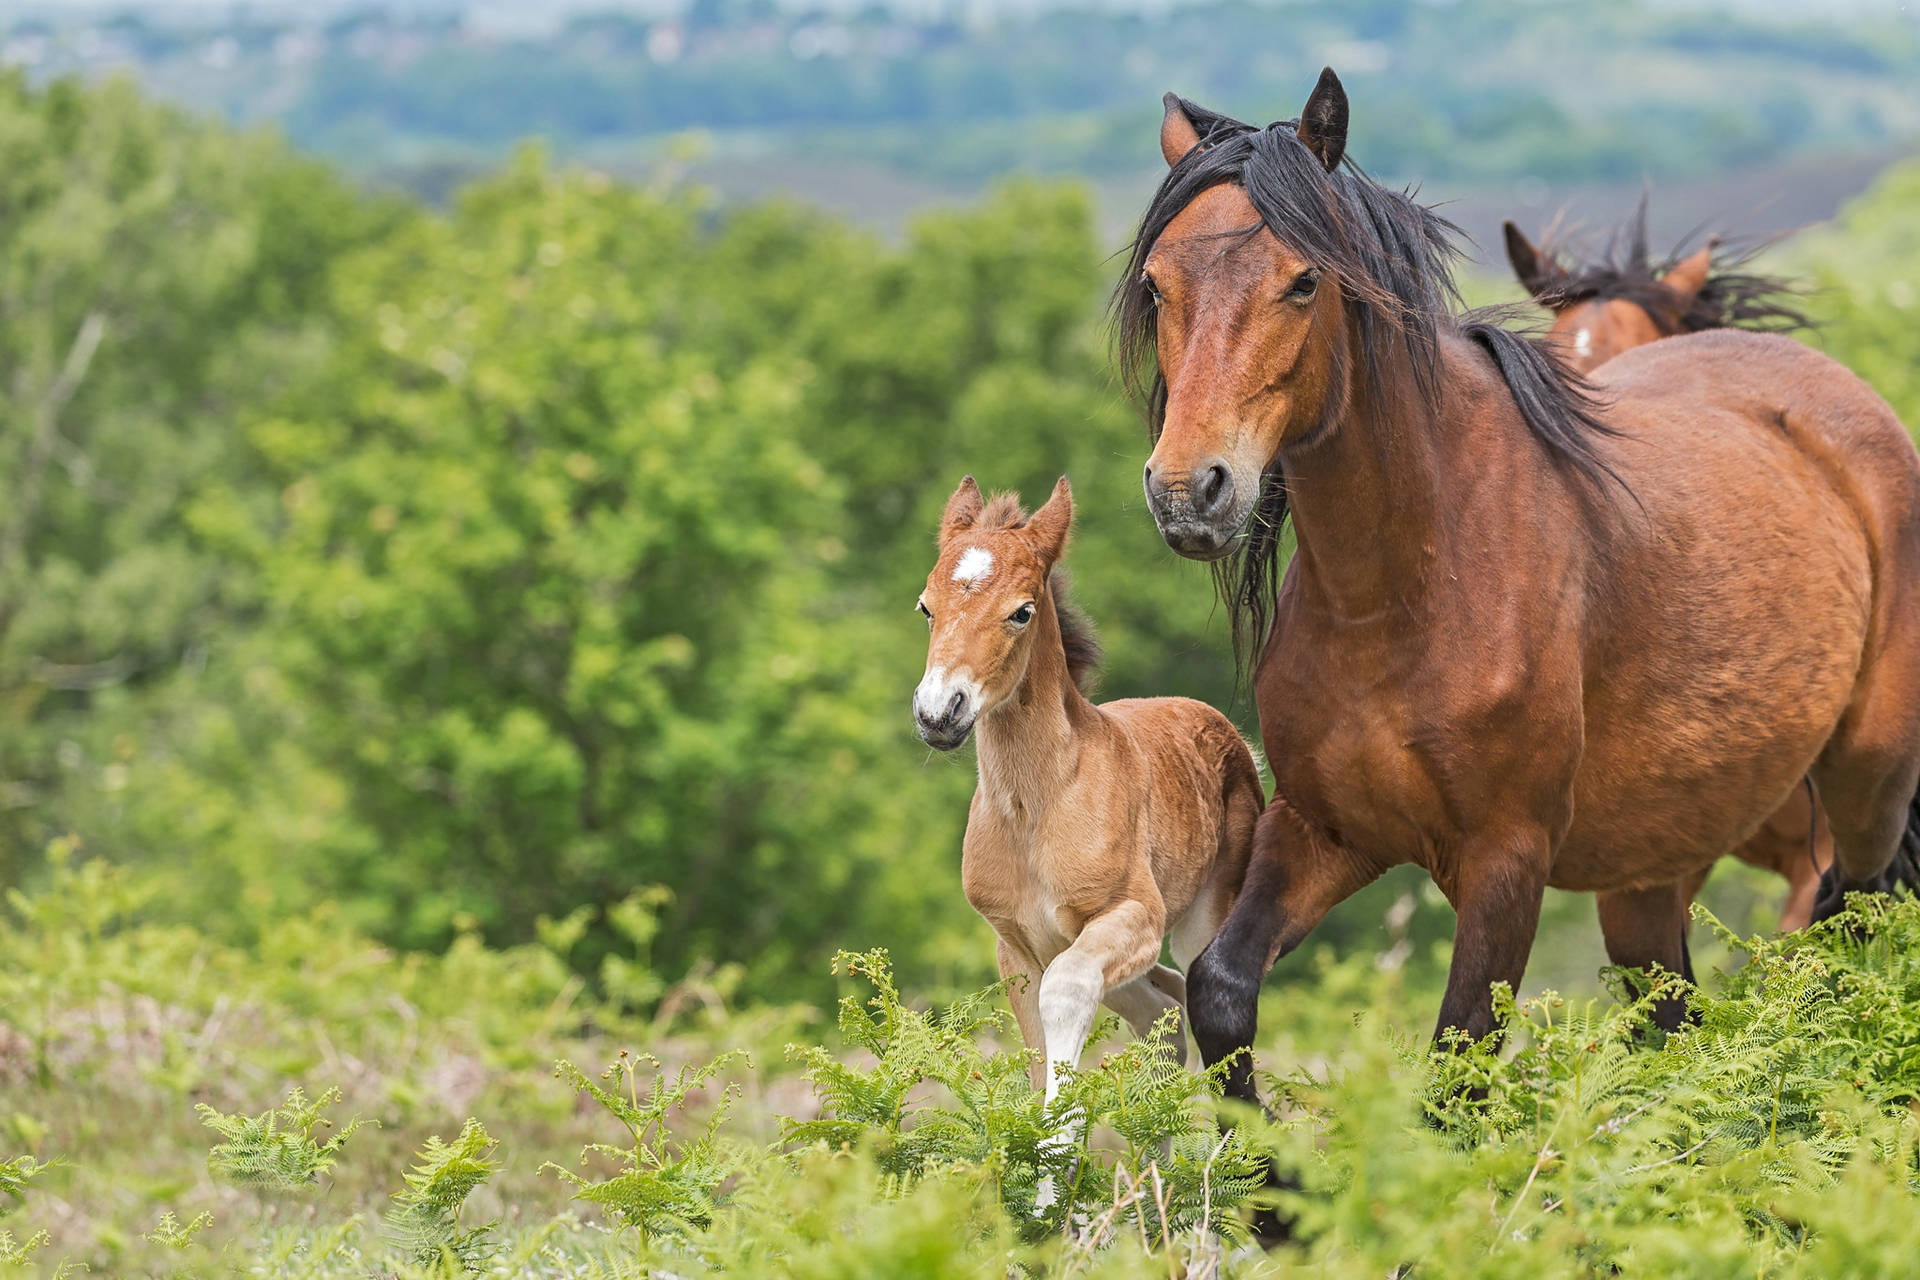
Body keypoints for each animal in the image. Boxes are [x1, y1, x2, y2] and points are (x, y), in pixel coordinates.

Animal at [910, 477, 1259, 1151]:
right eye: (926, 607)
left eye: (1020, 611)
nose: (939, 712)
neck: (1036, 810)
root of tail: (1231, 736)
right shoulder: (1017, 947)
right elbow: (1037, 1058)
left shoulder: (1134, 914)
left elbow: (1068, 991)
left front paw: (1056, 1153)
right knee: (1163, 1013)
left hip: (1199, 920)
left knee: (1200, 1000)